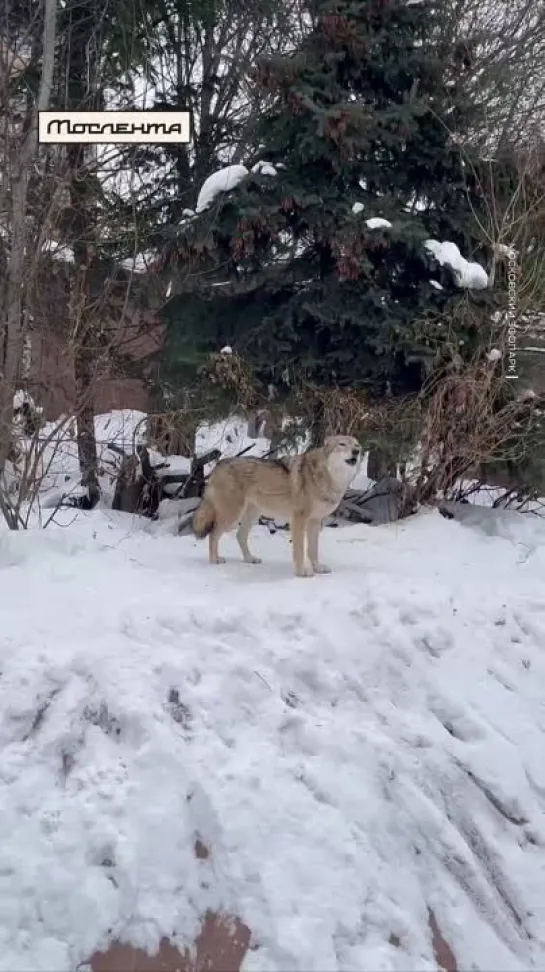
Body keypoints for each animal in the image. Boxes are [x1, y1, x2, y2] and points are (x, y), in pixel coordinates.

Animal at [191, 438, 362, 580]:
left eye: (356, 445)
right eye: (342, 444)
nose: (356, 452)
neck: (326, 477)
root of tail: (218, 464)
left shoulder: (315, 521)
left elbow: (313, 550)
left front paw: (318, 568)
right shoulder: (299, 519)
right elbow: (300, 550)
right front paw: (302, 572)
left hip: (252, 514)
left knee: (240, 535)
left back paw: (249, 559)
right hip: (232, 515)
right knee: (213, 535)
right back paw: (214, 561)